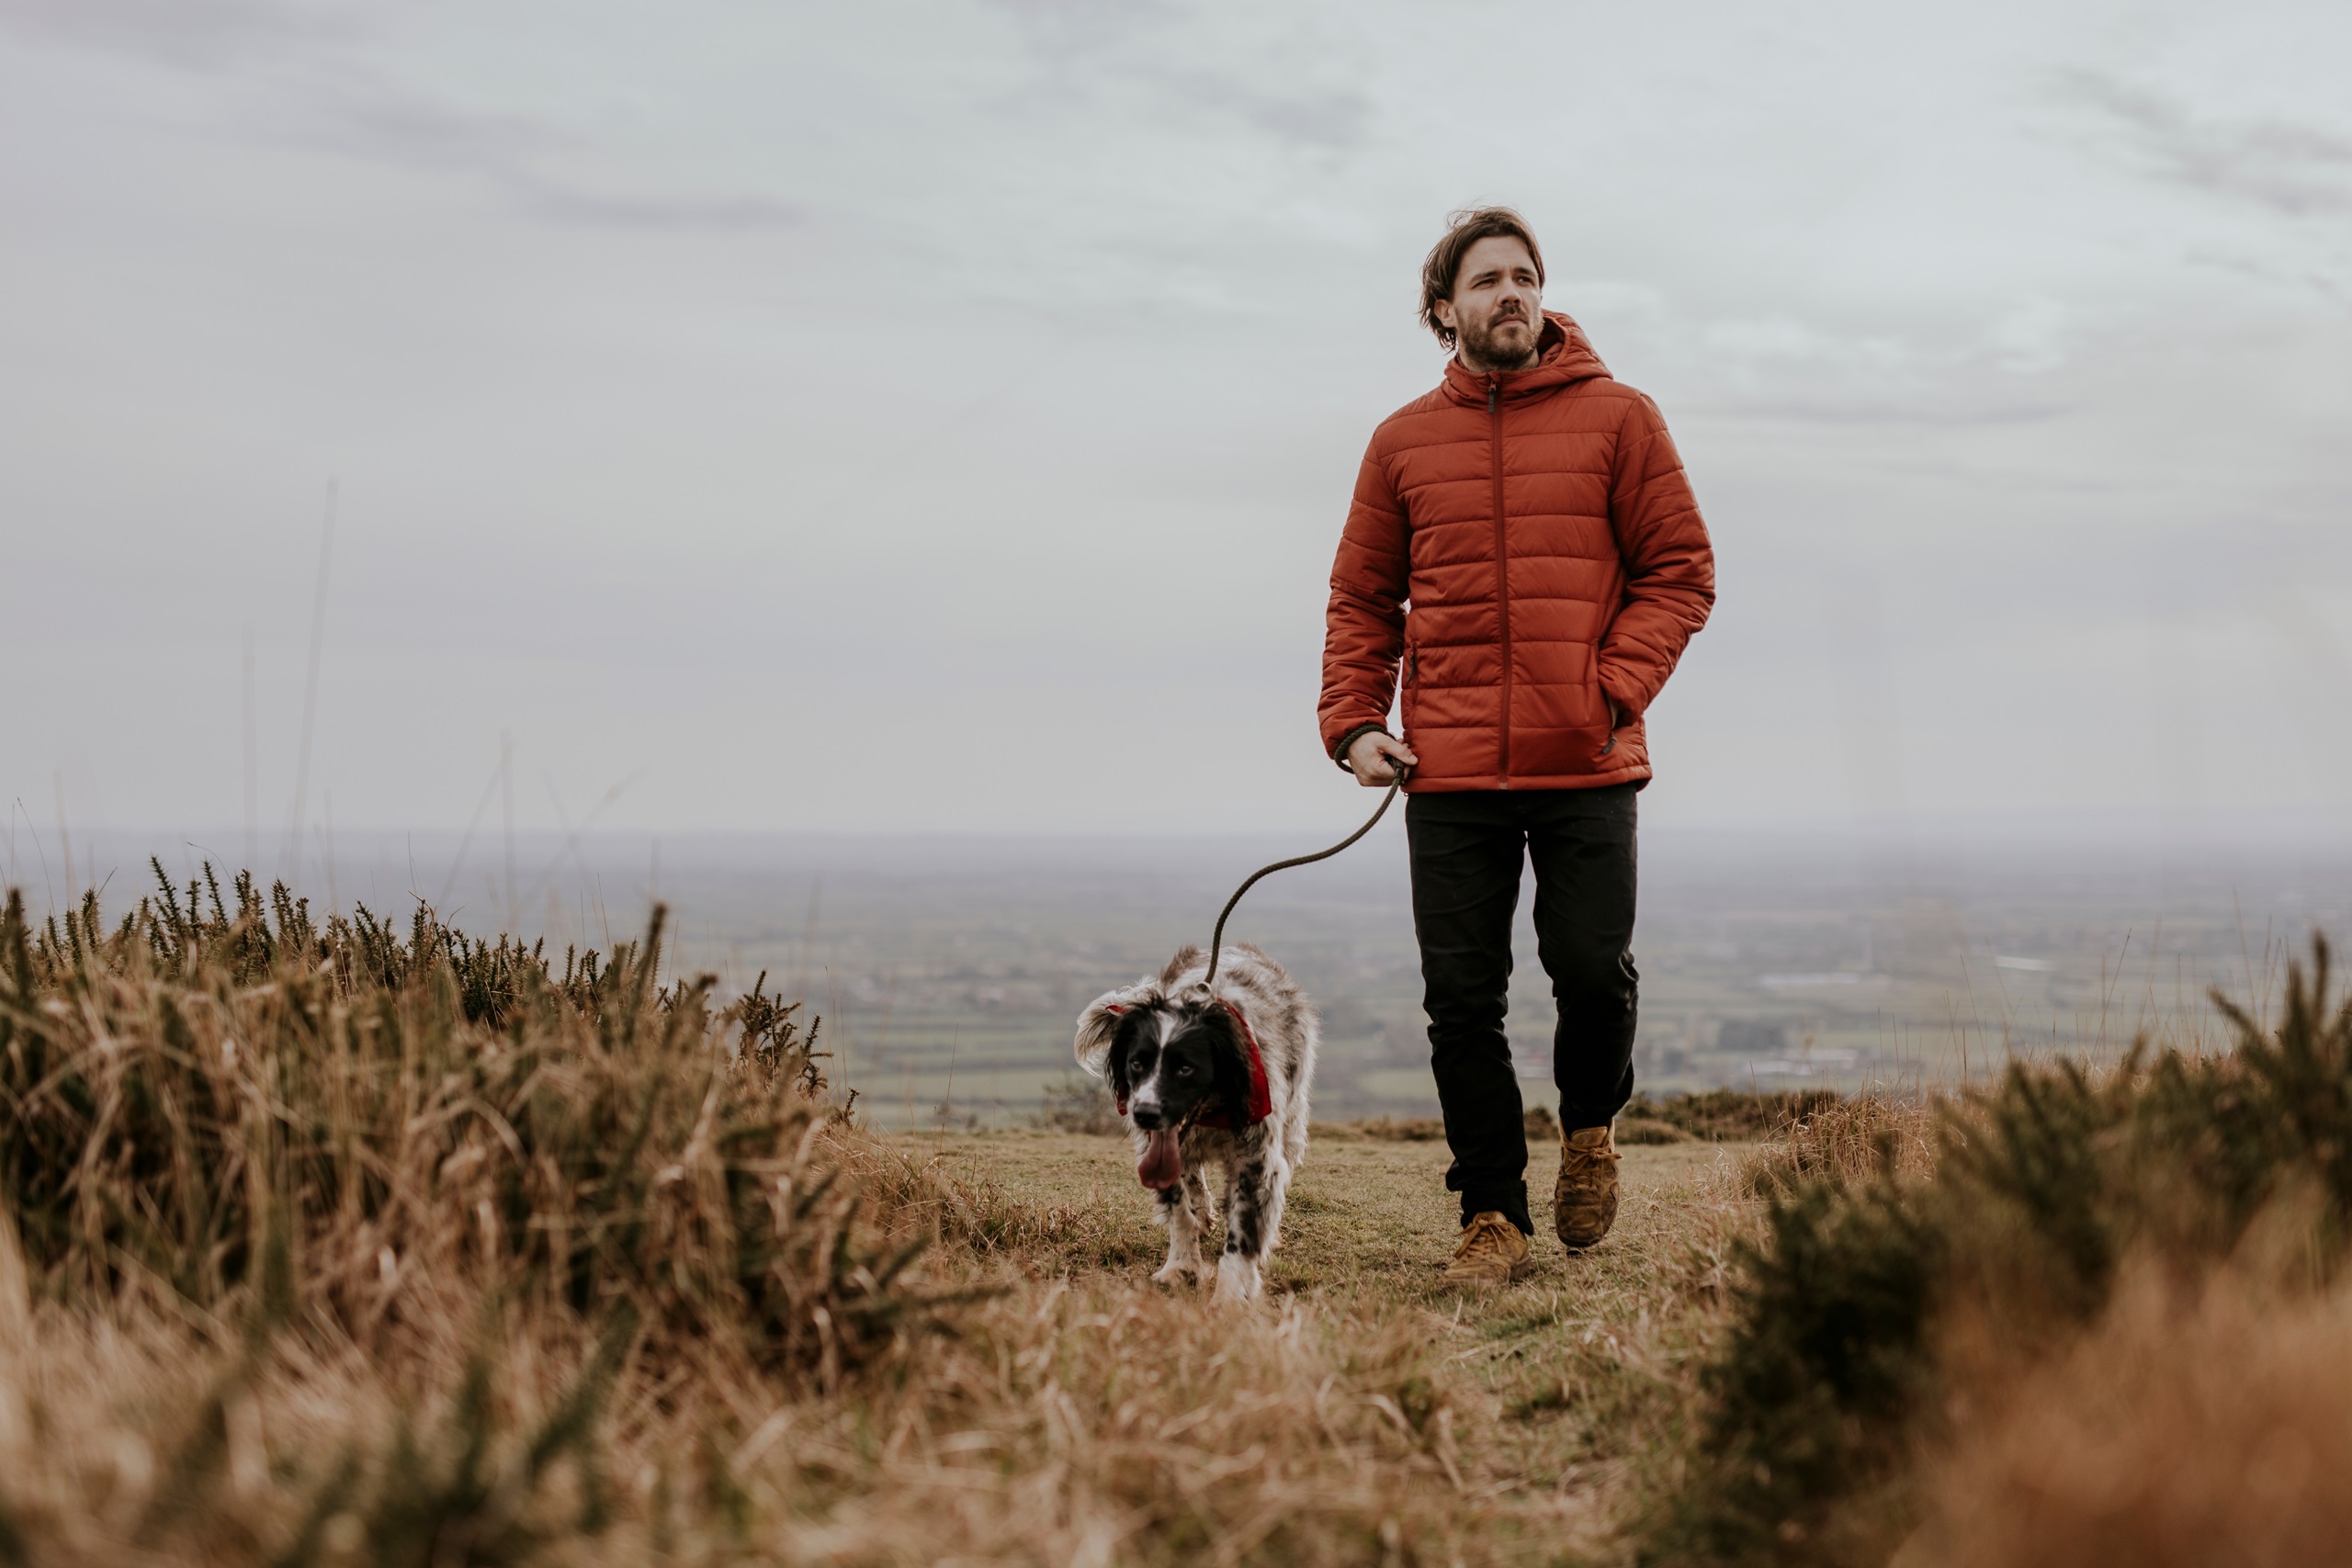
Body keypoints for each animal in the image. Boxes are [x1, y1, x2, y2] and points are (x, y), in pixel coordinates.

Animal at [1077, 944, 1317, 1297]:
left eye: (1185, 1069)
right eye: (1136, 1063)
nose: (1144, 1114)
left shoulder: (1257, 1156)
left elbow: (1243, 1229)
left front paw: (1231, 1294)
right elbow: (1180, 1210)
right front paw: (1181, 1266)